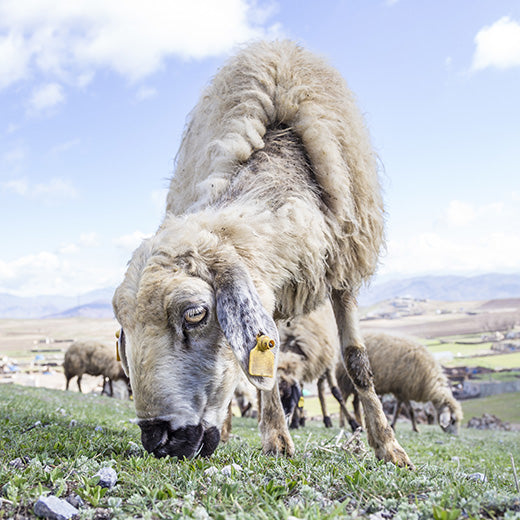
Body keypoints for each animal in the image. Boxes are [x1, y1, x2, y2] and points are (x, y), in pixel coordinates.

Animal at [278, 300, 360, 430]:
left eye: (289, 395)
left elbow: (337, 394)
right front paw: (295, 422)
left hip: (323, 362)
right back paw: (302, 420)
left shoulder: (328, 364)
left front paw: (354, 423)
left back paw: (327, 420)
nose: (285, 421)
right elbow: (300, 397)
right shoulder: (301, 369)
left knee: (321, 390)